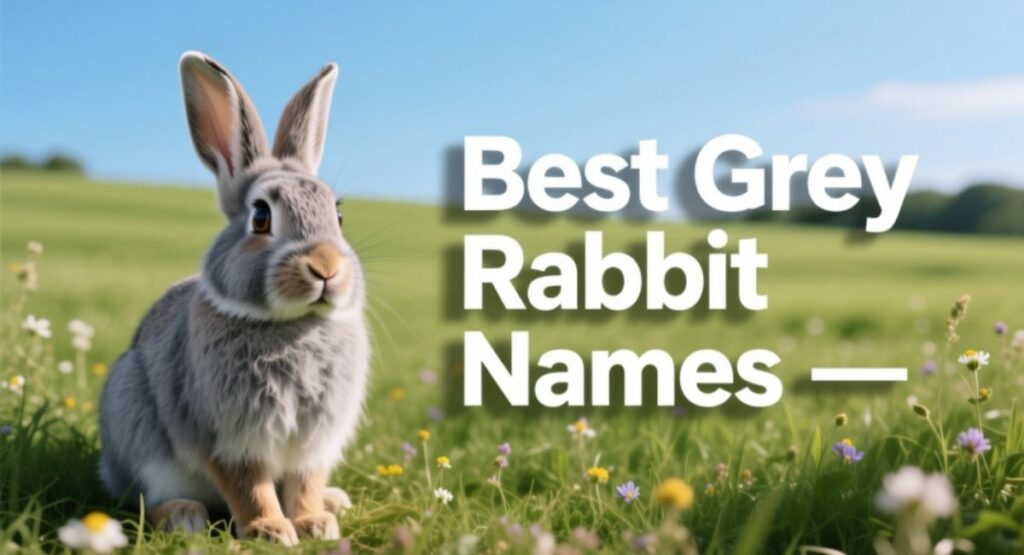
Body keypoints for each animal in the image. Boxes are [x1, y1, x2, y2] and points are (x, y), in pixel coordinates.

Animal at [98, 51, 369, 545]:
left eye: (337, 216)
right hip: (136, 425)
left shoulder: (315, 444)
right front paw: (271, 530)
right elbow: (250, 487)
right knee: (149, 498)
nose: (326, 268)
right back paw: (183, 516)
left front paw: (314, 523)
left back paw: (335, 501)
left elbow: (305, 484)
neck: (290, 327)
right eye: (260, 216)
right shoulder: (227, 439)